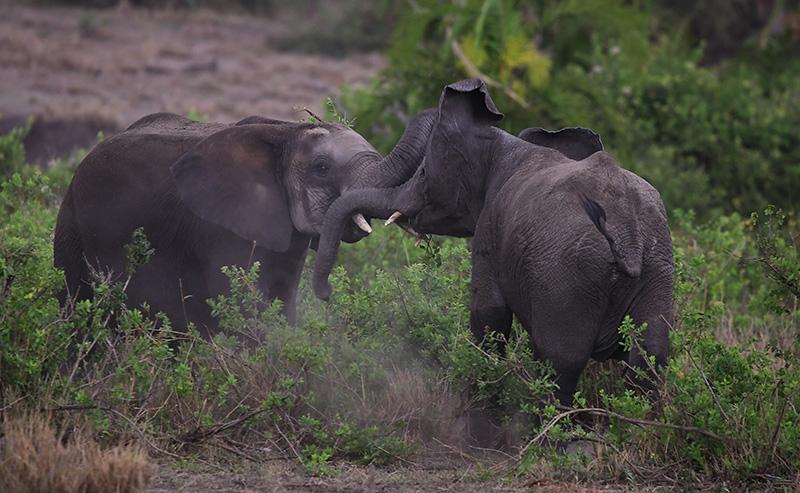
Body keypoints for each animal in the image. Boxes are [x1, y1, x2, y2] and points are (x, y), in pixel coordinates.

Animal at [312, 80, 676, 404]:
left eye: (424, 173)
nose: (326, 295)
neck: (502, 142)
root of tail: (623, 222)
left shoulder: (489, 234)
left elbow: (489, 314)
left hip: (569, 272)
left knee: (561, 362)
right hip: (657, 262)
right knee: (649, 358)